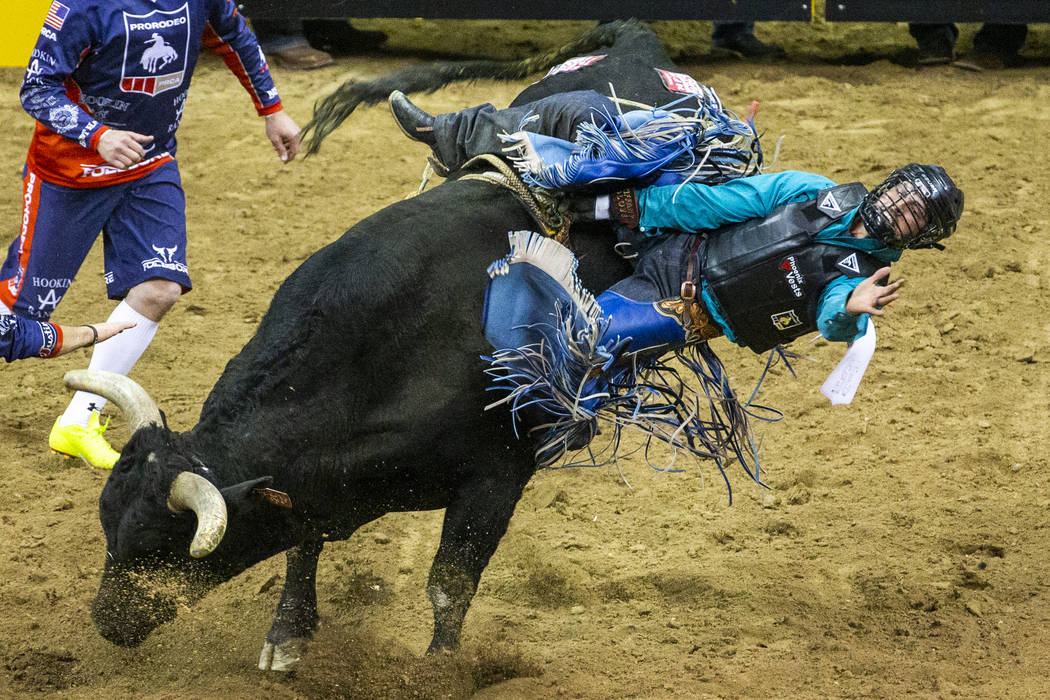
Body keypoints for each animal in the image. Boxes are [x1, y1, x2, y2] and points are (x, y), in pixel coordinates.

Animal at [71, 19, 713, 671]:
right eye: (108, 524)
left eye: (162, 546)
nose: (107, 621)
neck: (380, 359)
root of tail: (633, 41)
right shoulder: (314, 486)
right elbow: (303, 543)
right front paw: (287, 632)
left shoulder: (496, 476)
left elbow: (450, 582)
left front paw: (439, 670)